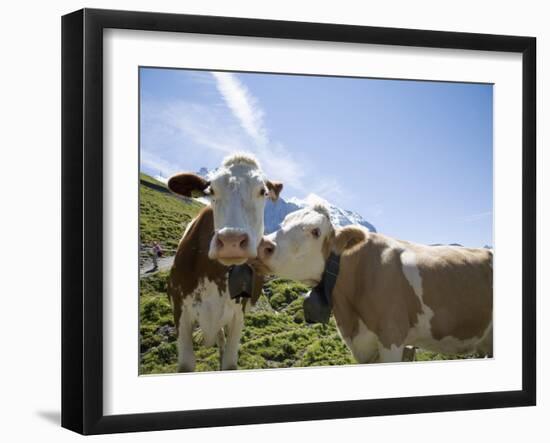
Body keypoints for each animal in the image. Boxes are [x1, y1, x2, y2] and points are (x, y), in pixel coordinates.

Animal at [168, 153, 284, 372]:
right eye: (211, 190)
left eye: (262, 191)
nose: (231, 241)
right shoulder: (180, 311)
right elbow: (186, 364)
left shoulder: (238, 315)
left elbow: (229, 362)